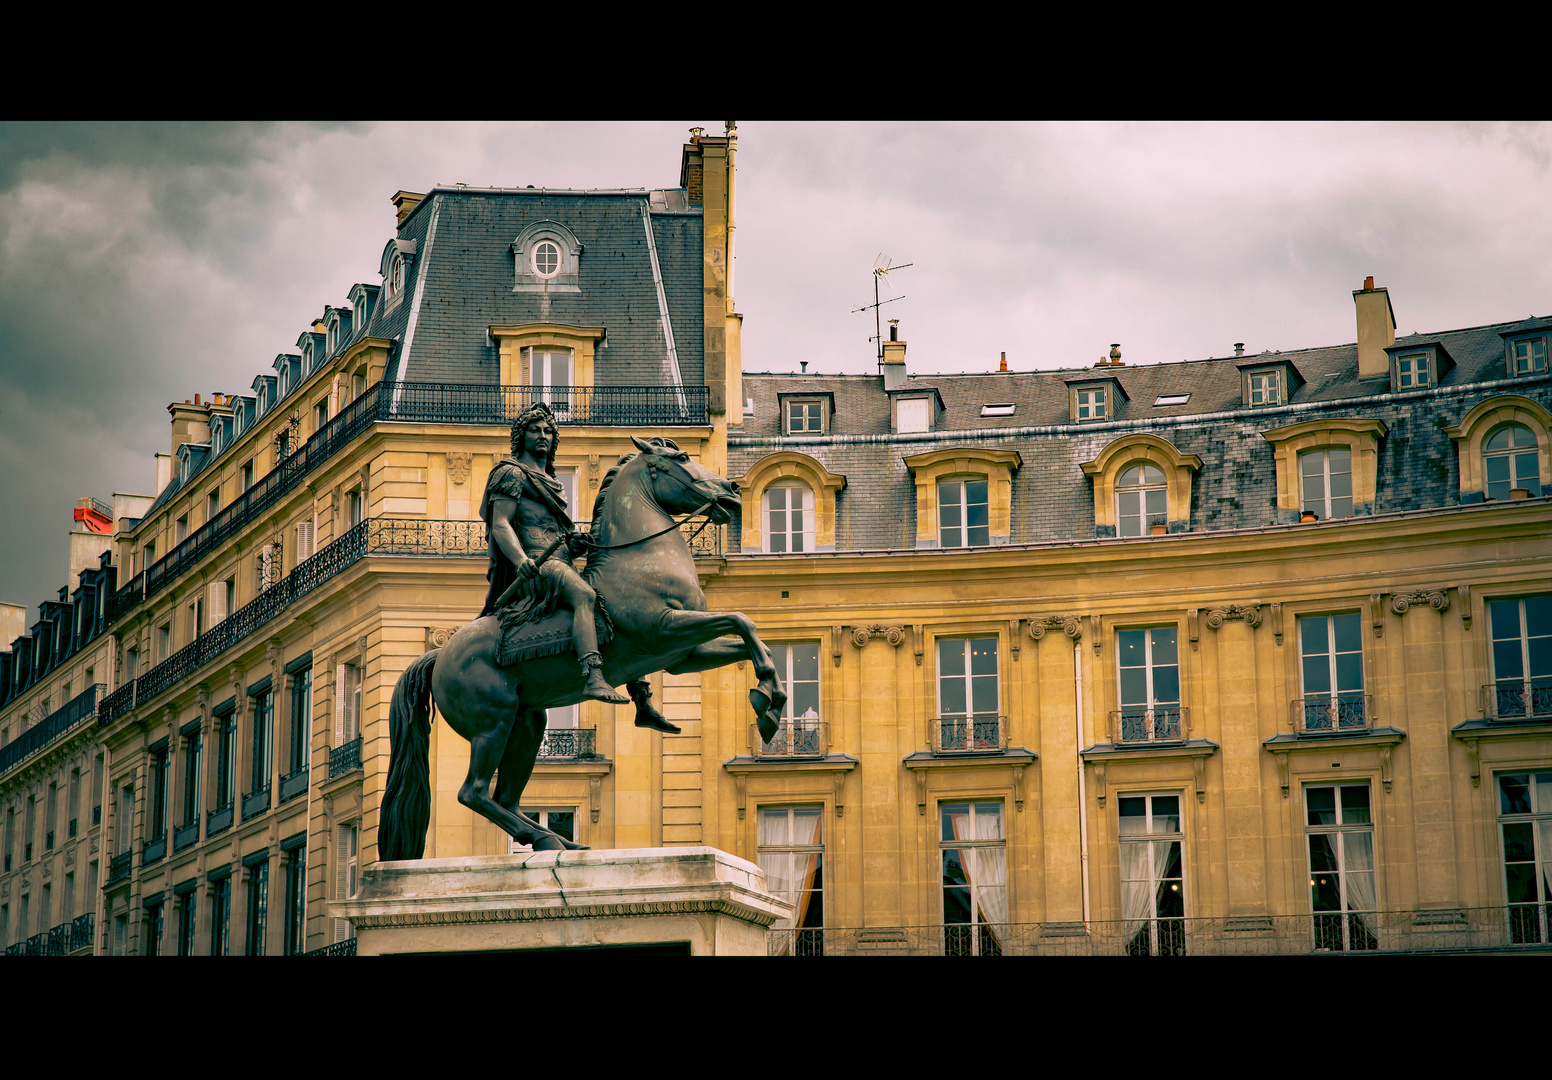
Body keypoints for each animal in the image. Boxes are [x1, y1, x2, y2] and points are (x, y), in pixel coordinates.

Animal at [377, 437, 788, 862]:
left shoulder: (682, 655)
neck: (641, 560)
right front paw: (766, 700)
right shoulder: (665, 629)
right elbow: (742, 619)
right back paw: (544, 835)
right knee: (472, 792)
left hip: (527, 723)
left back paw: (556, 839)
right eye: (683, 458)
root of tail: (440, 656)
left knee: (506, 797)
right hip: (493, 723)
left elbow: (749, 634)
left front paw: (771, 700)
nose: (732, 490)